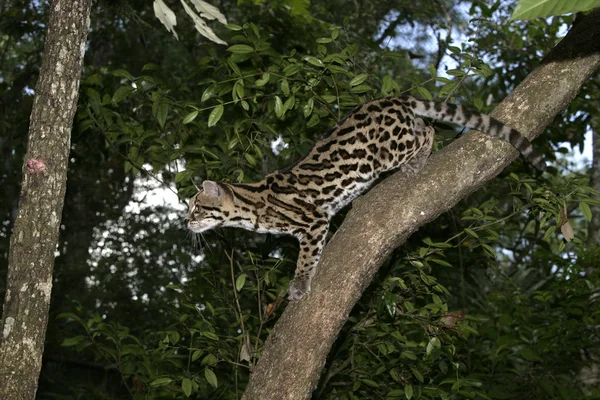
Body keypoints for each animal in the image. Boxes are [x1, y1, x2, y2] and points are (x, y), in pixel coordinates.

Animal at [186, 96, 544, 300]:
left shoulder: (313, 220)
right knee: (420, 123)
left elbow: (305, 258)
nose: (186, 222)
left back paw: (418, 160)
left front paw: (299, 284)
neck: (253, 203)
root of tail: (392, 98)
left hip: (386, 153)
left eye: (197, 207)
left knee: (426, 129)